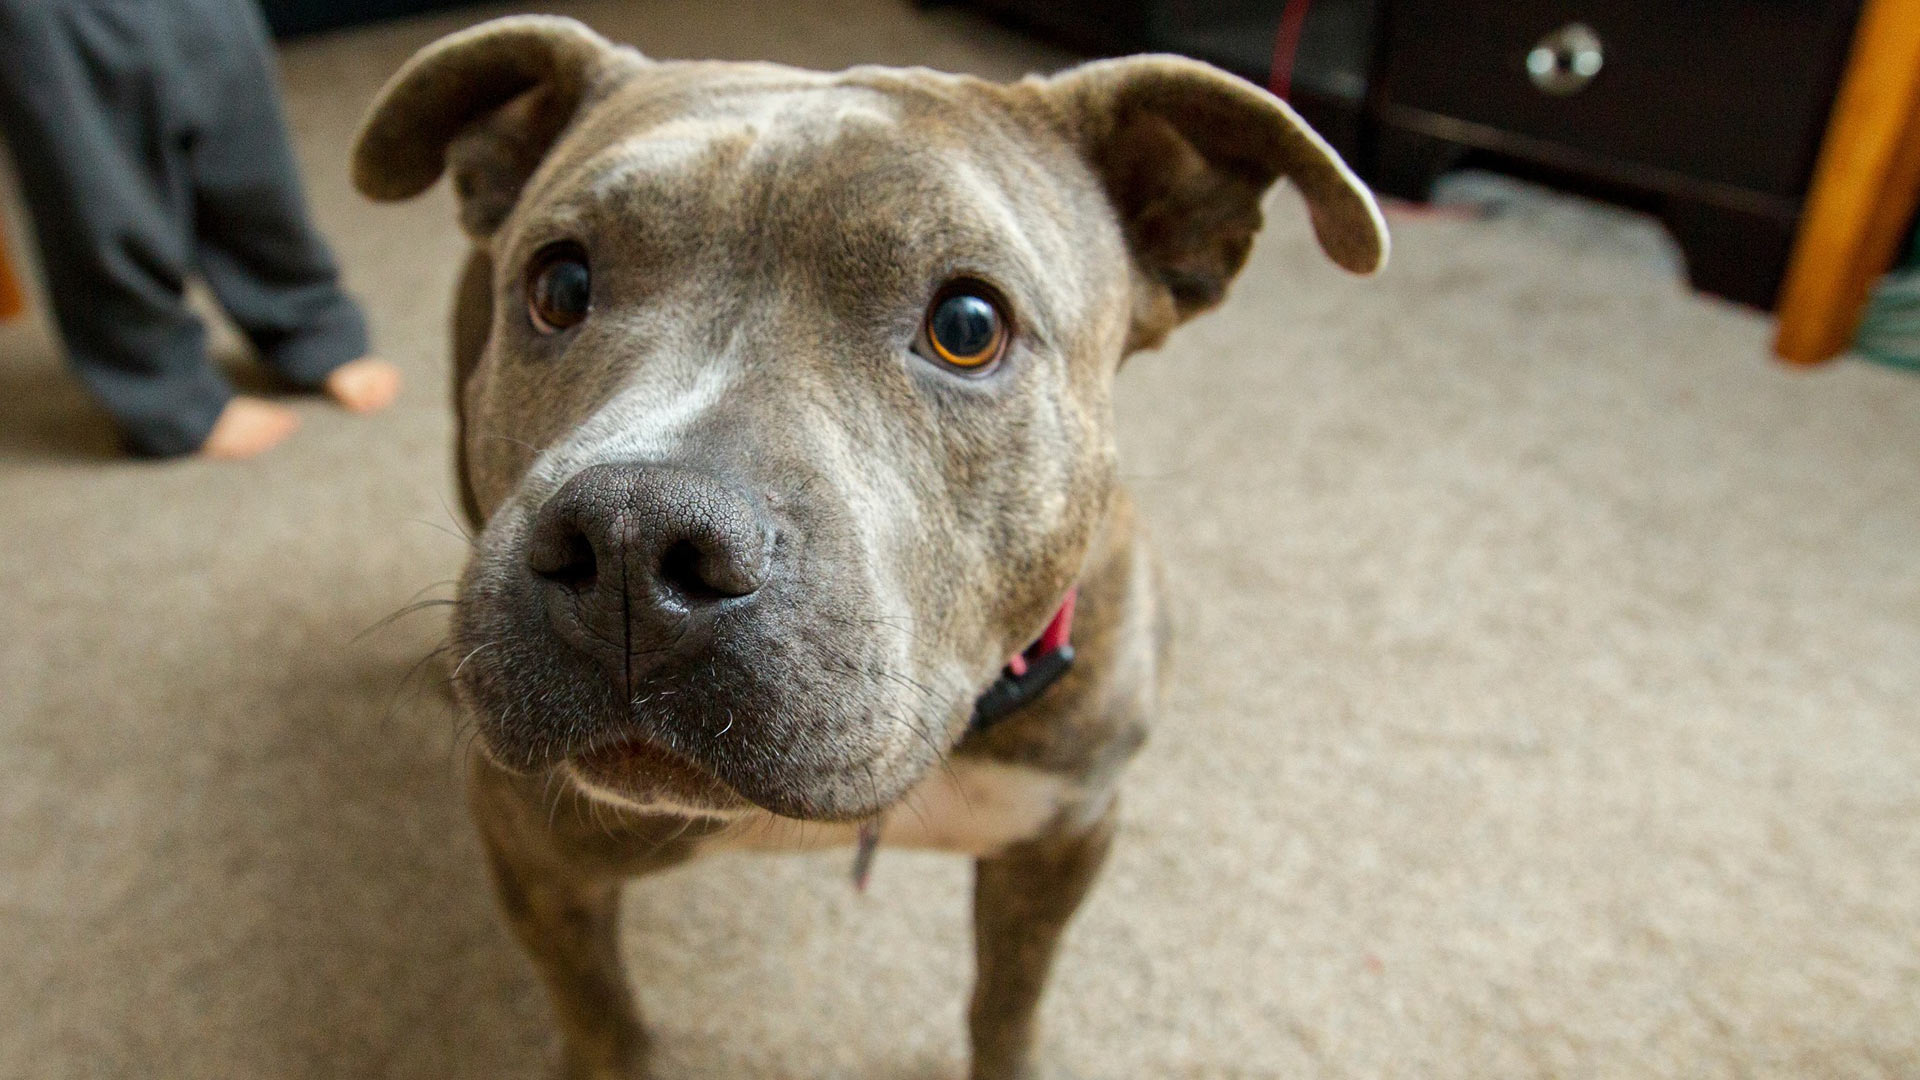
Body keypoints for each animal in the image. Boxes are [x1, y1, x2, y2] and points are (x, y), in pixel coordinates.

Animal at [353, 18, 1382, 1076]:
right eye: (559, 284)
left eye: (968, 325)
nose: (632, 536)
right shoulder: (535, 851)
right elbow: (604, 1018)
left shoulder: (1063, 838)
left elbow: (1007, 1000)